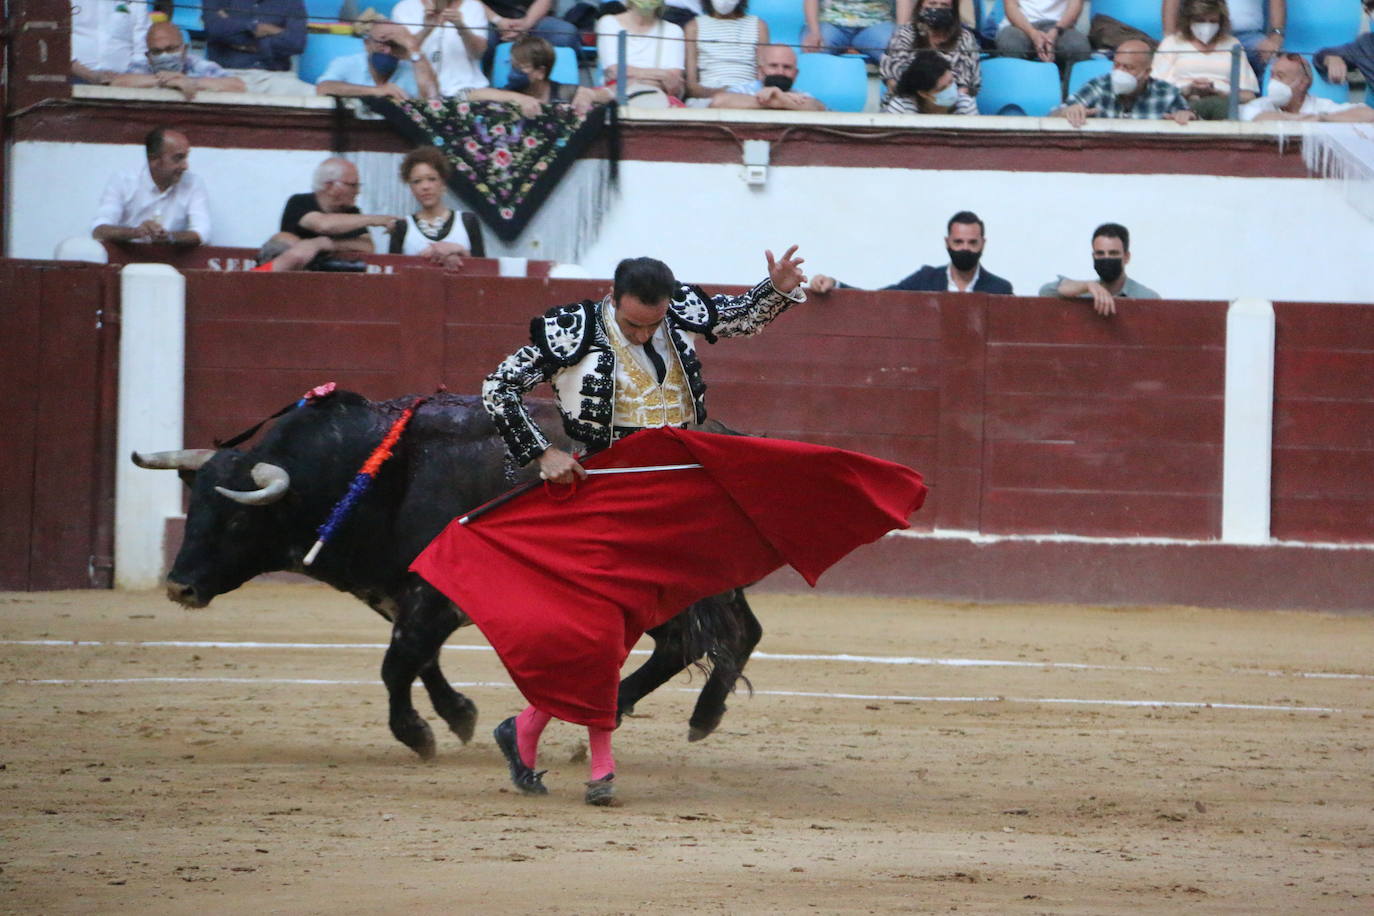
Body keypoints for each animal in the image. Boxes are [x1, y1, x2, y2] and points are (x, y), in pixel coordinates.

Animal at [133, 390, 763, 758]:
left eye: (240, 519)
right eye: (196, 508)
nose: (180, 585)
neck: (368, 474)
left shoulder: (429, 597)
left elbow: (396, 664)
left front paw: (419, 735)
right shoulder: (404, 595)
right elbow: (420, 661)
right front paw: (458, 716)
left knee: (693, 640)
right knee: (731, 634)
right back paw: (686, 717)